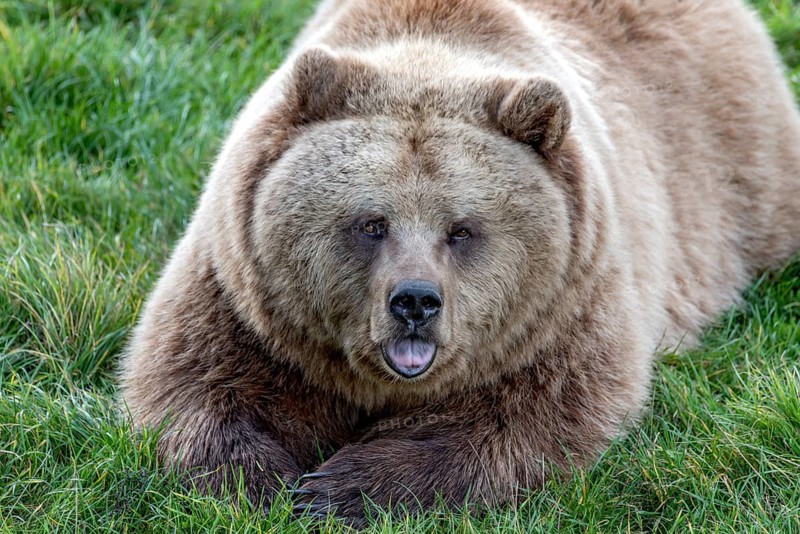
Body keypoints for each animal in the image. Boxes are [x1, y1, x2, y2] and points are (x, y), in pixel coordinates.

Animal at [119, 0, 800, 525]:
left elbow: (533, 419)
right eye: (372, 223)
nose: (415, 302)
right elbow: (191, 385)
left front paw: (341, 489)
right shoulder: (243, 294)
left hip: (738, 173)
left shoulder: (566, 305)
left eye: (462, 230)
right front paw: (263, 485)